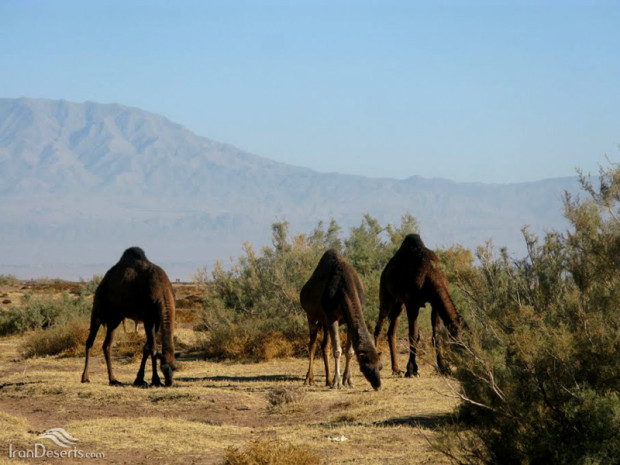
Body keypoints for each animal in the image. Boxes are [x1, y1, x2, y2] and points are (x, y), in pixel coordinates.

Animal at [80, 248, 177, 386]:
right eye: (163, 368)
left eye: (175, 368)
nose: (169, 382)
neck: (161, 290)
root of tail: (102, 281)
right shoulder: (148, 319)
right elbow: (152, 348)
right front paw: (155, 380)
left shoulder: (157, 321)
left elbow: (147, 348)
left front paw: (140, 379)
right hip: (98, 310)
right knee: (90, 341)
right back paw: (85, 377)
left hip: (114, 319)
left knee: (107, 345)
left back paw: (113, 379)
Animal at [302, 248, 382, 390]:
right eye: (366, 368)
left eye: (380, 367)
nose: (378, 385)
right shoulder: (332, 316)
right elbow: (337, 350)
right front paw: (337, 382)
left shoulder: (347, 320)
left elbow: (349, 352)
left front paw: (348, 381)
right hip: (311, 316)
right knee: (312, 344)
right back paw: (309, 379)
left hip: (324, 321)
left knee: (325, 346)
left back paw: (327, 380)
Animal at [372, 234, 460, 376]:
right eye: (458, 338)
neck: (430, 274)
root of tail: (384, 271)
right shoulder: (412, 303)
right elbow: (413, 335)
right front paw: (411, 370)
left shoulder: (434, 303)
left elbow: (436, 336)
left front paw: (443, 367)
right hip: (386, 296)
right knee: (378, 327)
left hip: (399, 304)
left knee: (391, 332)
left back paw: (396, 369)